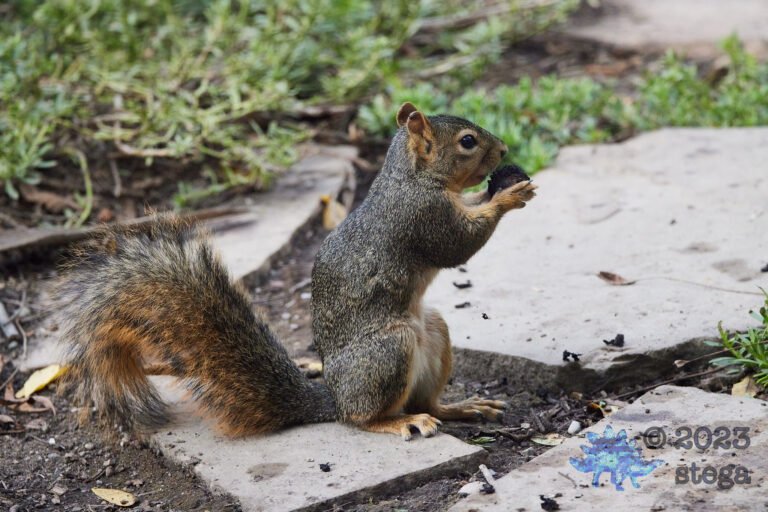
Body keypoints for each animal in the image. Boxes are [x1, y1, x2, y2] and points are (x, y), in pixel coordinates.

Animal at [56, 102, 537, 440]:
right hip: (389, 349)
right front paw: (507, 197)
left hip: (432, 331)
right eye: (468, 142)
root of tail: (334, 397)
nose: (504, 150)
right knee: (362, 417)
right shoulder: (422, 217)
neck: (410, 177)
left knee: (428, 400)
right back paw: (398, 422)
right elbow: (458, 245)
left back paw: (461, 407)